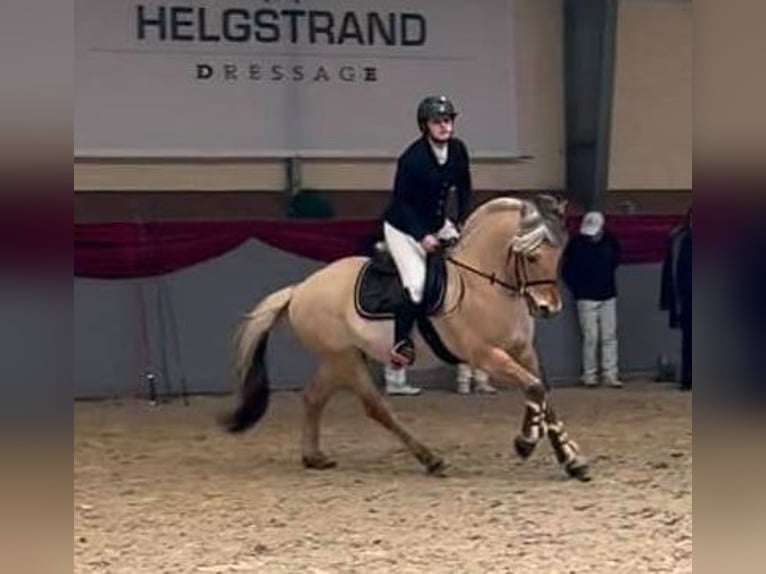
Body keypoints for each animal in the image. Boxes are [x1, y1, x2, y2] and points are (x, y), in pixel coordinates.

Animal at [222, 196, 592, 484]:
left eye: (559, 255)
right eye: (531, 256)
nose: (548, 308)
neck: (483, 284)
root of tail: (300, 289)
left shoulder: (522, 350)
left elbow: (542, 392)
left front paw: (571, 460)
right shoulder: (484, 354)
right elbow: (535, 388)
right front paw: (526, 443)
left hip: (340, 359)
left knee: (313, 397)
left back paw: (314, 457)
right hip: (345, 360)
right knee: (376, 408)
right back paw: (431, 459)